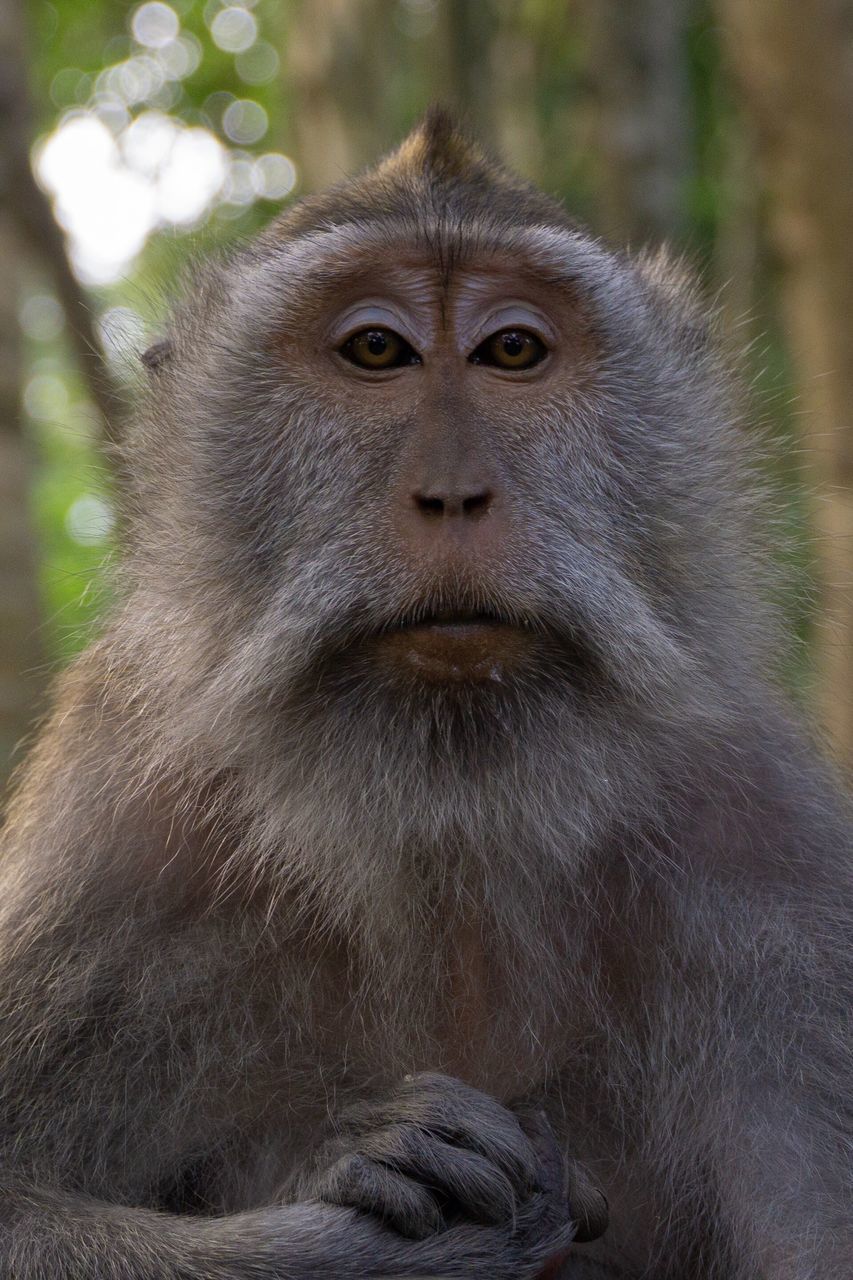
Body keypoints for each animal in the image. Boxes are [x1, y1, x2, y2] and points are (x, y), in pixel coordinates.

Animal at [0, 110, 845, 1280]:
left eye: (512, 352)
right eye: (376, 351)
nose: (453, 493)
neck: (450, 805)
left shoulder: (767, 859)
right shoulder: (117, 834)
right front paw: (378, 1188)